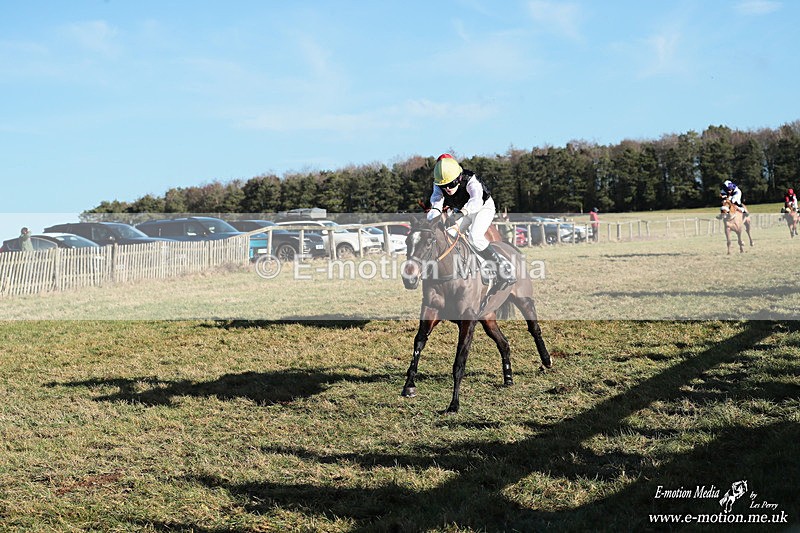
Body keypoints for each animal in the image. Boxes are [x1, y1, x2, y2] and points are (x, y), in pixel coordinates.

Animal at [400, 216, 552, 414]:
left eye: (428, 242)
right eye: (407, 242)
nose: (409, 279)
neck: (449, 276)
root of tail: (510, 248)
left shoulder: (467, 320)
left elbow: (460, 360)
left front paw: (454, 403)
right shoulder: (430, 310)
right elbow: (419, 343)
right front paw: (409, 386)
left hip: (524, 301)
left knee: (534, 329)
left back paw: (546, 360)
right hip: (487, 317)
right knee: (503, 343)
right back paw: (508, 378)